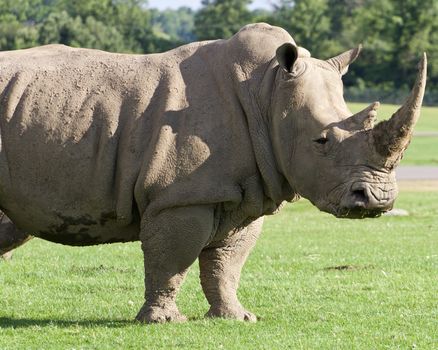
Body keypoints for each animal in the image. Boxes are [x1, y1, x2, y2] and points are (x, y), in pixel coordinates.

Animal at [0, 23, 424, 322]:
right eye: (322, 141)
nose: (378, 200)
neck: (267, 94)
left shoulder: (247, 191)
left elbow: (227, 264)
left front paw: (238, 317)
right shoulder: (180, 196)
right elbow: (171, 260)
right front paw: (164, 322)